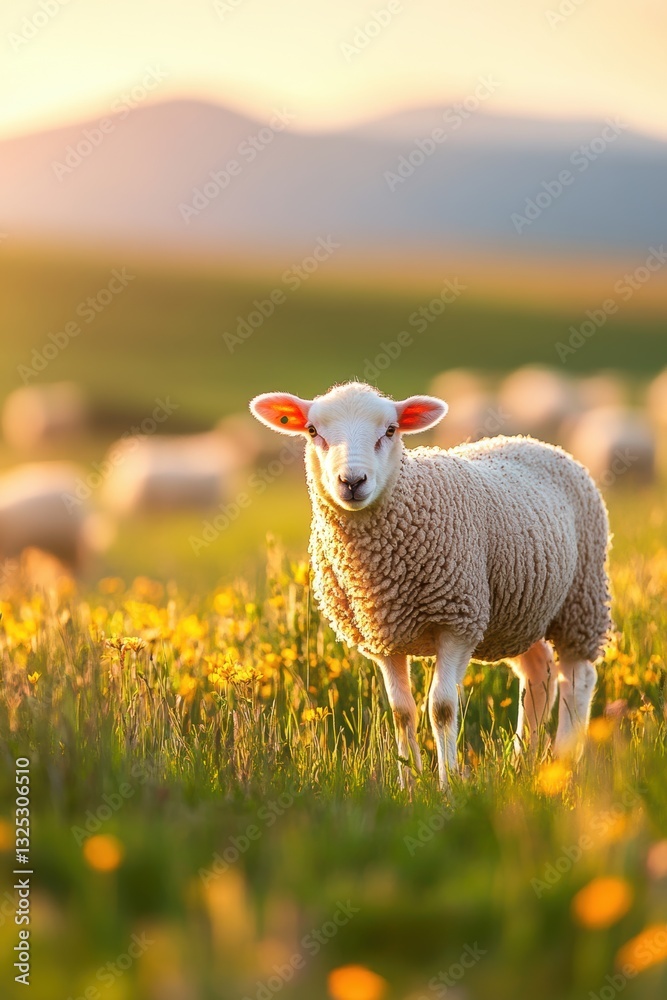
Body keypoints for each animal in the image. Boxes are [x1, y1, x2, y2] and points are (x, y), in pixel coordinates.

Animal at [250, 382, 611, 788]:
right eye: (313, 431)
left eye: (391, 430)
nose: (352, 482)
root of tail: (534, 441)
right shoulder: (382, 636)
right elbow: (401, 711)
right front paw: (408, 784)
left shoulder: (457, 621)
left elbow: (441, 707)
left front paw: (447, 783)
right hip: (517, 611)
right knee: (539, 674)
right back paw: (523, 761)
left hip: (581, 596)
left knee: (577, 679)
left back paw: (564, 763)